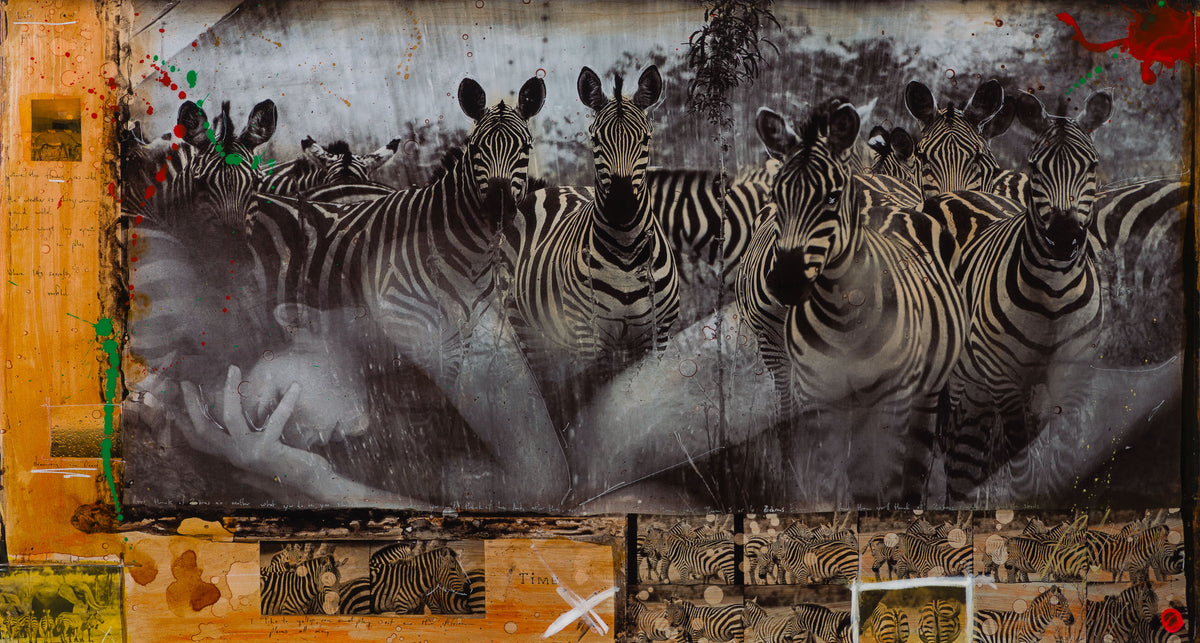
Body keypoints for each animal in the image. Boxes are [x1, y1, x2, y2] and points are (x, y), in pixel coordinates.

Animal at [511, 65, 679, 374]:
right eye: (596, 140)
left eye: (645, 139)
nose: (622, 207)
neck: (626, 252)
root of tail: (544, 189)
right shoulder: (589, 335)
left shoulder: (658, 334)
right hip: (526, 327)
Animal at [943, 90, 1111, 503]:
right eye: (1036, 168)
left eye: (1092, 166)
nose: (1064, 236)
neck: (1053, 291)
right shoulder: (1006, 380)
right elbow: (1020, 466)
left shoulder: (1072, 376)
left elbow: (1063, 456)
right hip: (963, 379)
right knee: (957, 451)